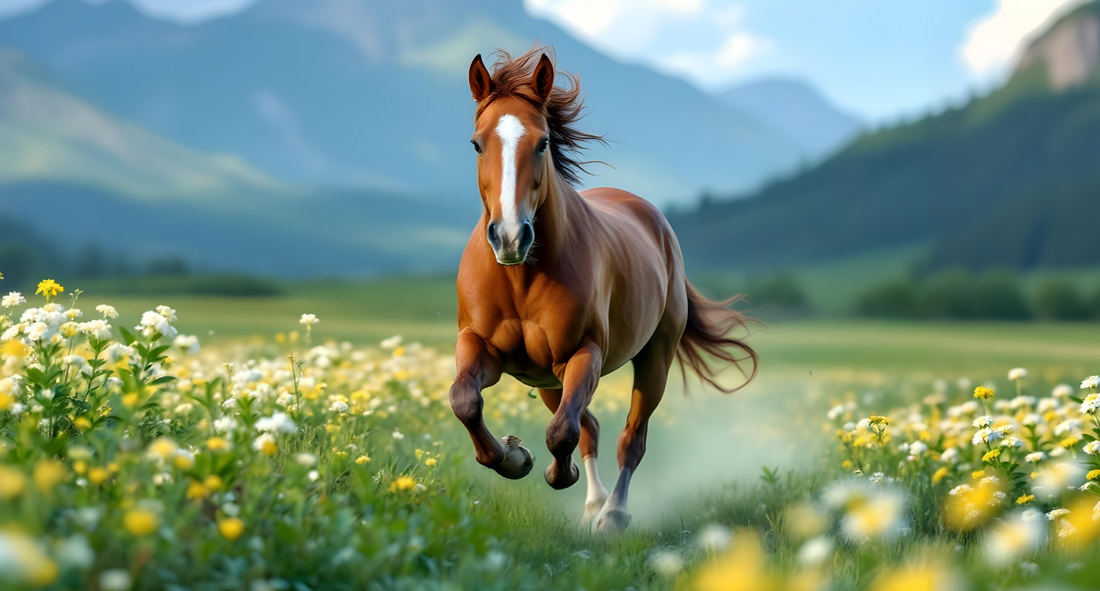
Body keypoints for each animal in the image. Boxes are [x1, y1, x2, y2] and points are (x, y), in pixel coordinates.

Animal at [449, 46, 757, 533]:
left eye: (543, 142)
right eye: (477, 143)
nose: (511, 237)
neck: (520, 279)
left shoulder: (583, 354)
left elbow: (563, 432)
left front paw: (558, 474)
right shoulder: (482, 347)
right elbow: (465, 401)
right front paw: (514, 457)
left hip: (653, 360)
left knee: (629, 437)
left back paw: (612, 514)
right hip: (546, 377)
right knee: (589, 425)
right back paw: (594, 504)